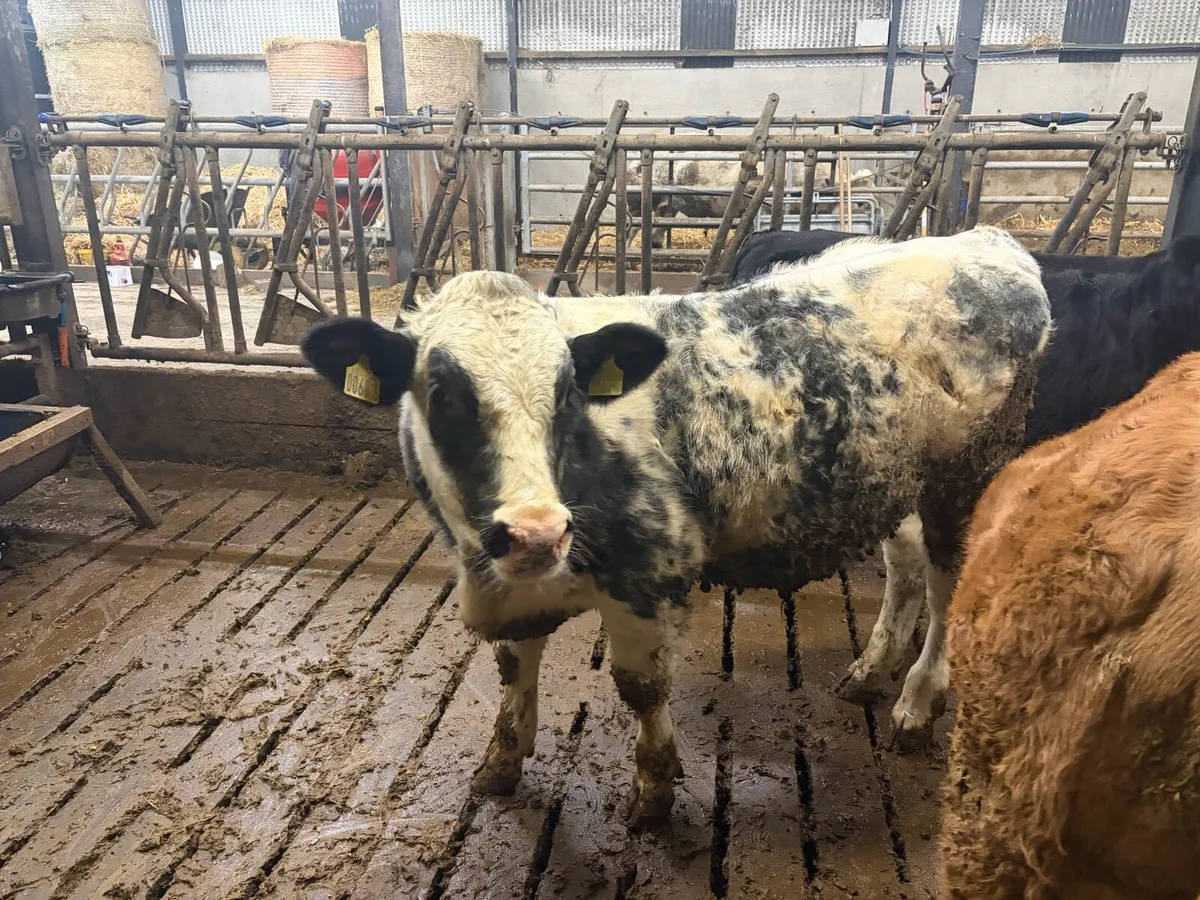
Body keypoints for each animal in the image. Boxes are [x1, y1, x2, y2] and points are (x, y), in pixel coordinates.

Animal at [301, 226, 1051, 825]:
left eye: (567, 392)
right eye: (444, 394)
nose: (537, 530)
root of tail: (987, 242)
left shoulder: (651, 575)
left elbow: (641, 689)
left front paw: (654, 794)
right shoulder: (509, 583)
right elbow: (514, 668)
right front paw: (500, 765)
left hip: (967, 474)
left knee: (950, 581)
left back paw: (918, 704)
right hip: (890, 479)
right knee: (905, 563)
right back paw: (872, 670)